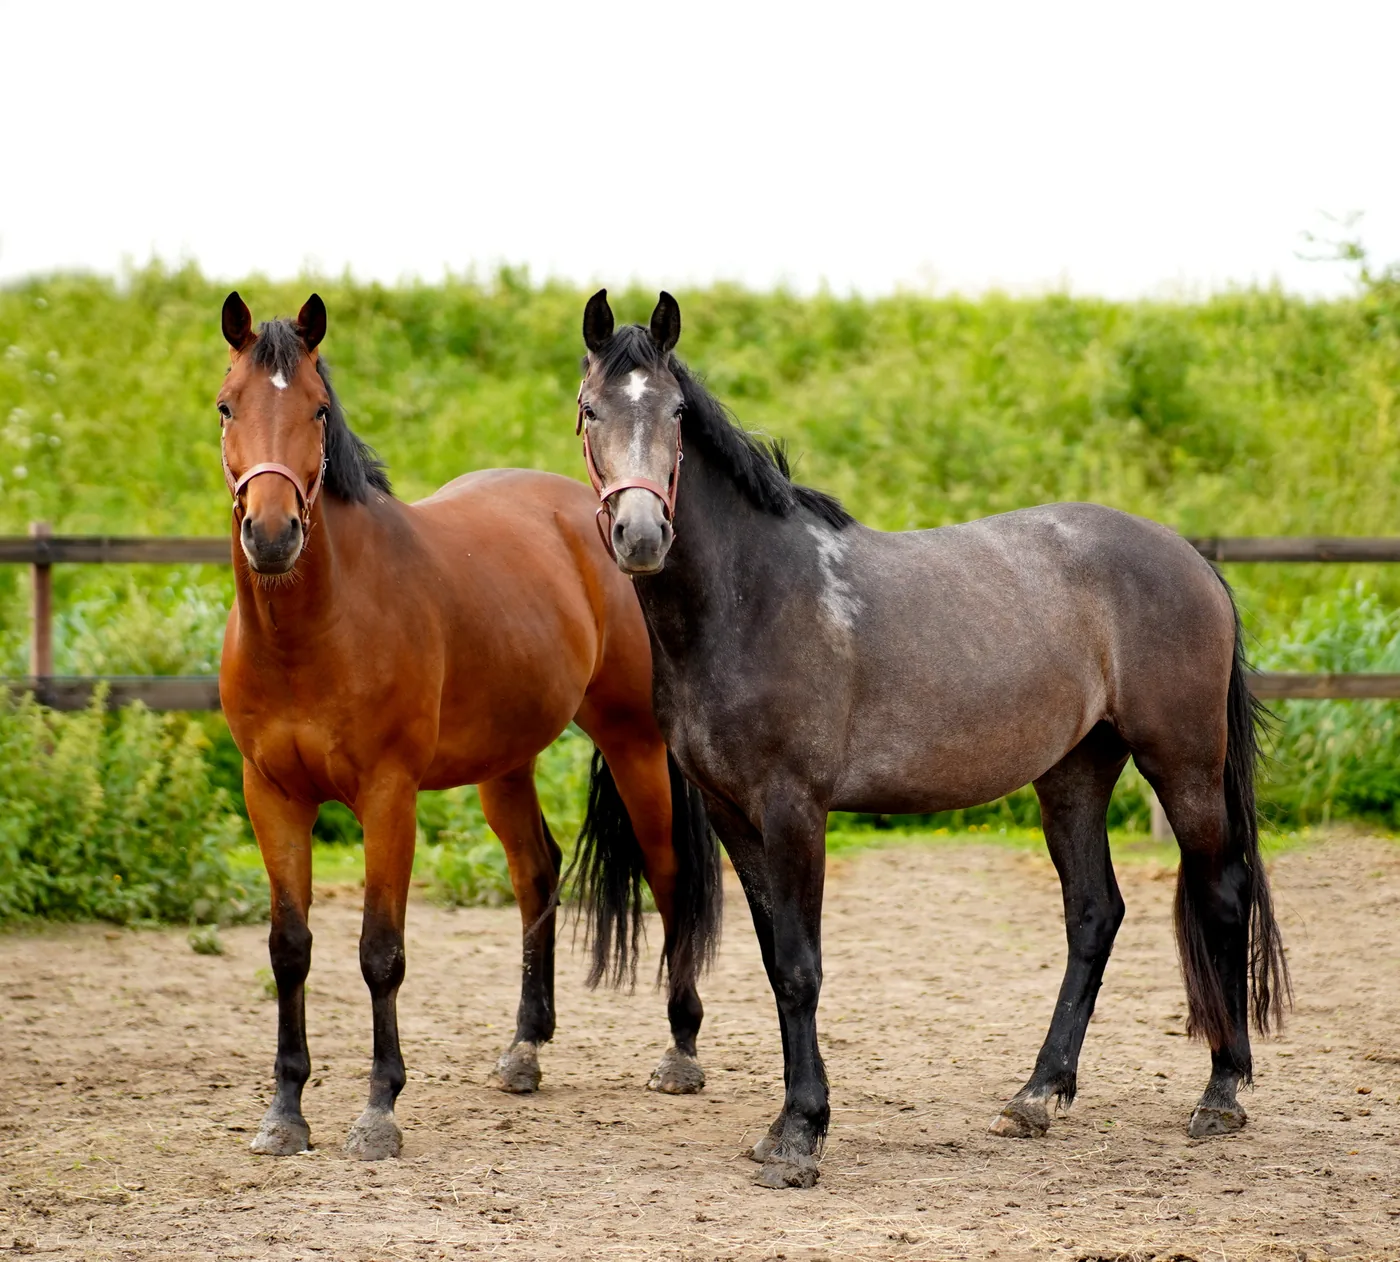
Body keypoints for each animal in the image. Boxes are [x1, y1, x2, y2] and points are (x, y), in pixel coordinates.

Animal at [215, 291, 721, 1160]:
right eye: (226, 406)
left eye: (318, 410)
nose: (273, 534)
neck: (315, 628)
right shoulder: (271, 795)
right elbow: (289, 950)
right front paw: (284, 1112)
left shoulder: (389, 796)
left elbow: (379, 953)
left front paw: (378, 1110)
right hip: (504, 760)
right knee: (536, 871)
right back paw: (524, 1049)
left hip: (635, 744)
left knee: (669, 873)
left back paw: (679, 1050)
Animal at [571, 289, 1290, 1189]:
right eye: (589, 410)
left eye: (674, 412)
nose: (641, 536)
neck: (751, 598)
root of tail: (1191, 559)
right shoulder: (734, 814)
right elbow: (775, 963)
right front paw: (784, 1128)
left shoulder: (795, 809)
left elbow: (801, 967)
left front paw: (802, 1134)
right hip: (1074, 772)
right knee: (1094, 914)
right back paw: (1036, 1096)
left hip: (1182, 763)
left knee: (1221, 892)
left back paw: (1221, 1093)